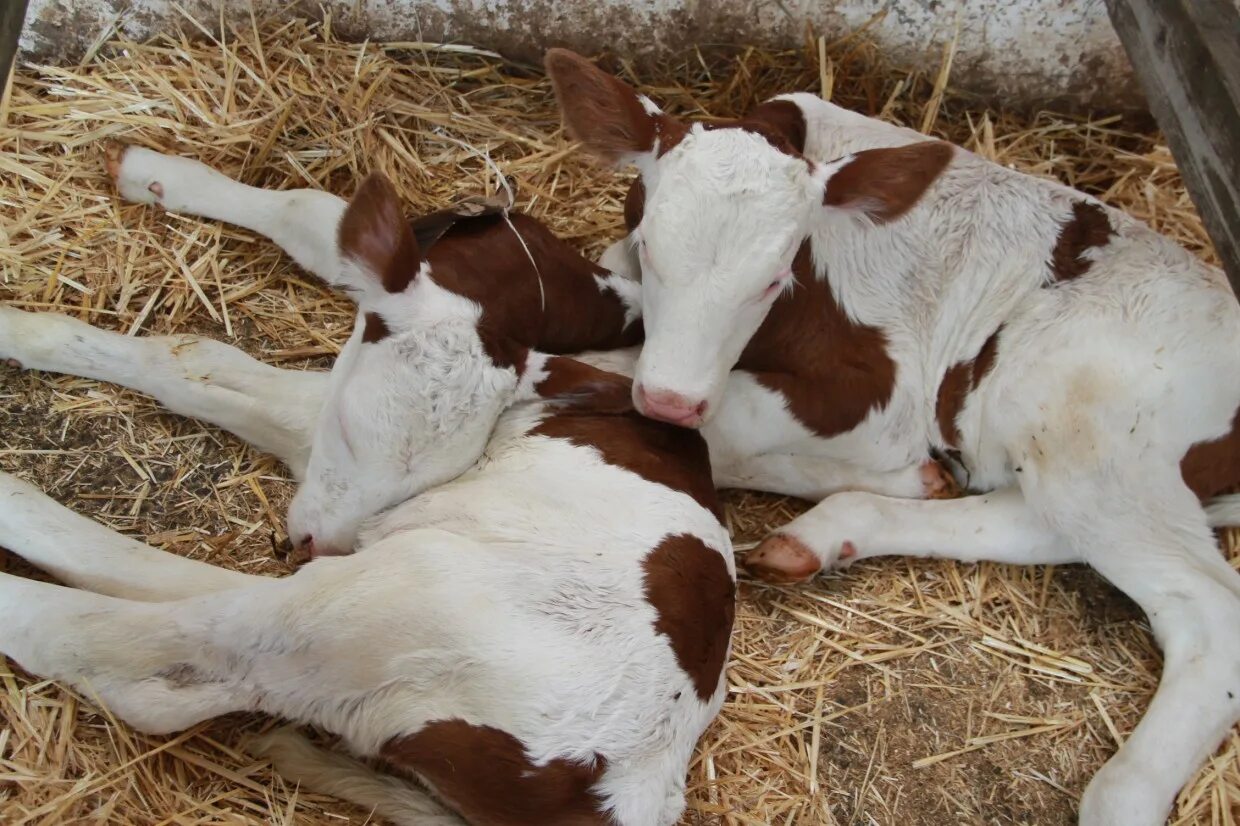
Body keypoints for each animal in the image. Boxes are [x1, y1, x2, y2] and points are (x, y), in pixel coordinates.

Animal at [0, 148, 734, 823]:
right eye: (352, 434)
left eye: (438, 468)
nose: (313, 542)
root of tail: (623, 790)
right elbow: (277, 258)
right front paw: (147, 176)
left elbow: (192, 362)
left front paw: (19, 329)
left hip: (381, 607)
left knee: (124, 647)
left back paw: (16, 510)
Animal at [548, 49, 1240, 823]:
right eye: (650, 246)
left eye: (775, 278)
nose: (672, 400)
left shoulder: (881, 400)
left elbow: (719, 426)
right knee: (1034, 526)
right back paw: (825, 533)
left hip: (1089, 425)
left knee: (1210, 611)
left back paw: (1122, 795)